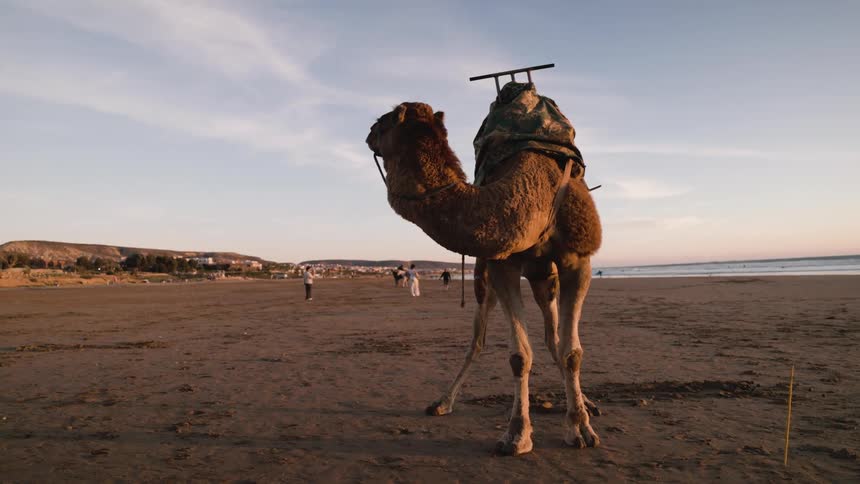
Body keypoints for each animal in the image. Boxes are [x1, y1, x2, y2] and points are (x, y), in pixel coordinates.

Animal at [366, 94, 602, 456]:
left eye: (385, 120)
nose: (368, 132)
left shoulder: (577, 258)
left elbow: (571, 352)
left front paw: (580, 429)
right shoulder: (500, 265)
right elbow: (519, 355)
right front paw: (517, 434)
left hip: (544, 277)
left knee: (553, 338)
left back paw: (586, 403)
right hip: (487, 284)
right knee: (478, 341)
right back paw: (442, 402)